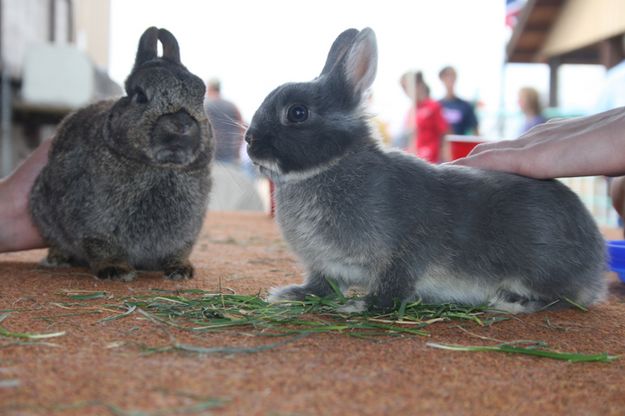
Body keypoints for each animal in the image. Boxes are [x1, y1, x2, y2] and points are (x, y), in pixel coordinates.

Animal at [29, 25, 213, 280]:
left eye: (201, 95)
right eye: (140, 96)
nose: (182, 124)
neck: (159, 168)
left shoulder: (187, 231)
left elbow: (179, 250)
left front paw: (180, 269)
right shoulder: (93, 225)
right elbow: (101, 245)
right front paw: (116, 270)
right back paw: (57, 259)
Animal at [246, 27, 608, 312]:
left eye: (297, 113)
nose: (249, 141)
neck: (332, 166)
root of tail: (596, 263)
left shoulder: (404, 251)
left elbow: (393, 286)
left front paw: (361, 305)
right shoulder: (325, 265)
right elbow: (322, 285)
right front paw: (291, 294)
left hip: (541, 266)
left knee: (562, 298)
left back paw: (512, 302)